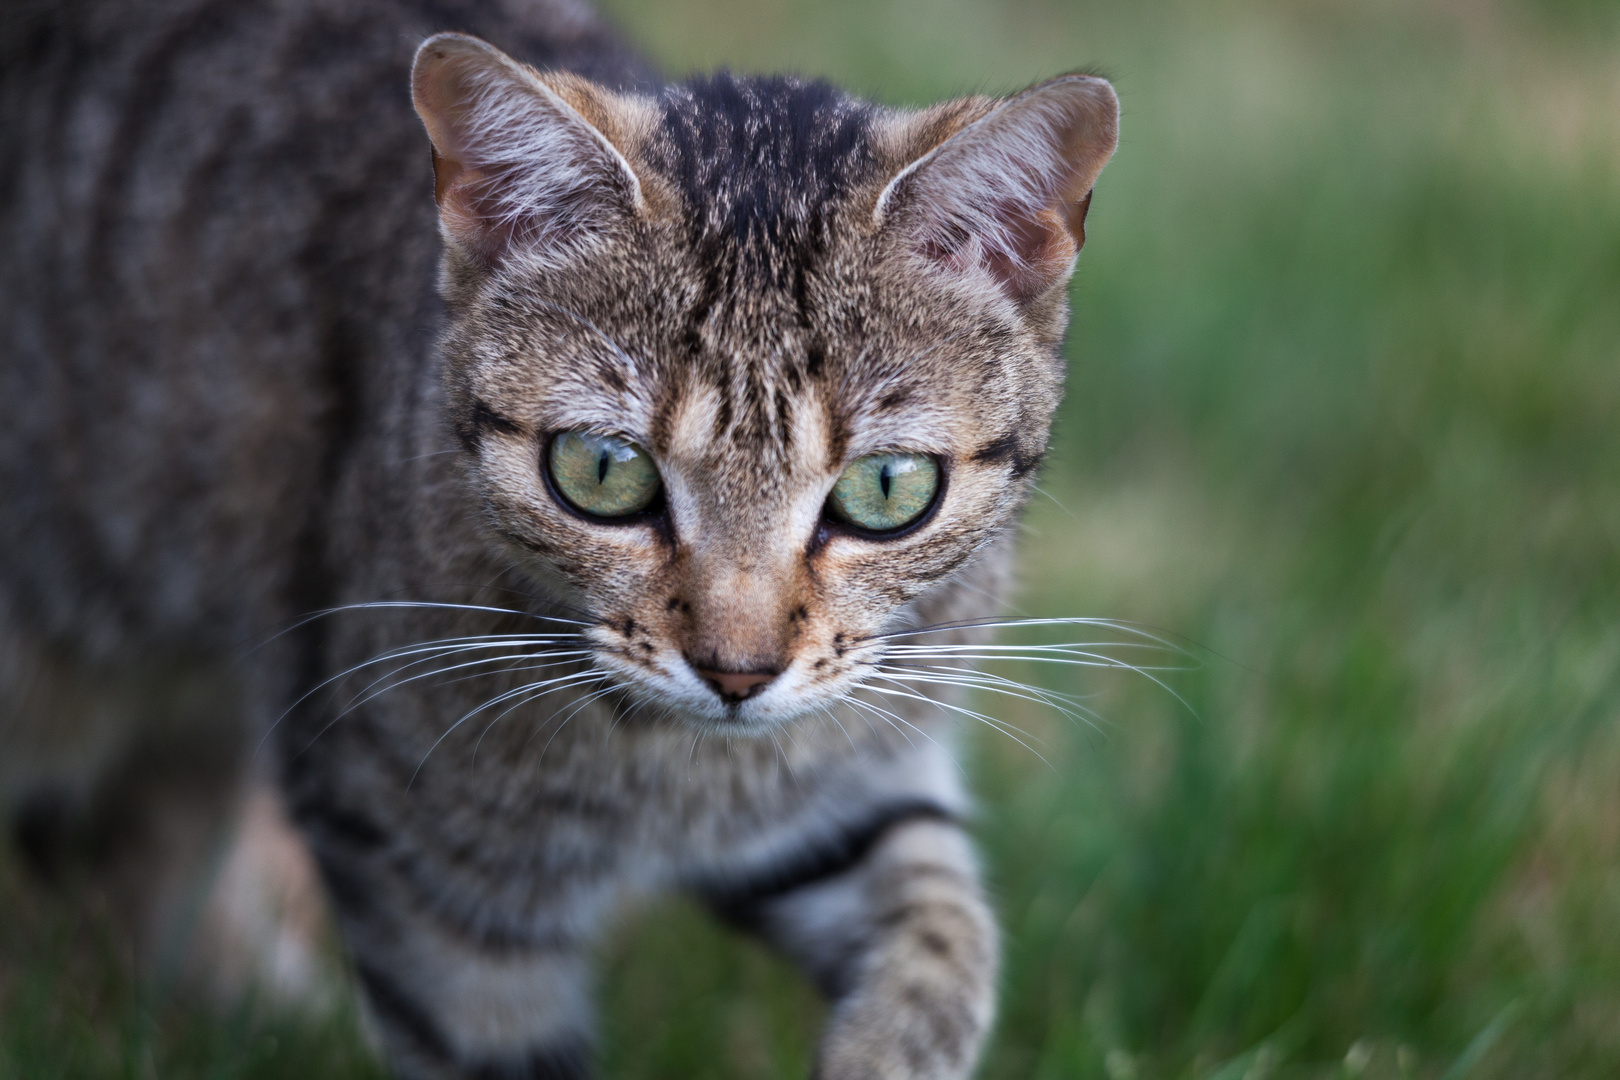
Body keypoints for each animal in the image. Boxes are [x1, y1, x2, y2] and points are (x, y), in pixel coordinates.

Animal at [0, 2, 1114, 1080]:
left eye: (886, 489)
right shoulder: (418, 871)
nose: (738, 672)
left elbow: (944, 934)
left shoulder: (833, 798)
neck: (677, 777)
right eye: (603, 472)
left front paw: (888, 1050)